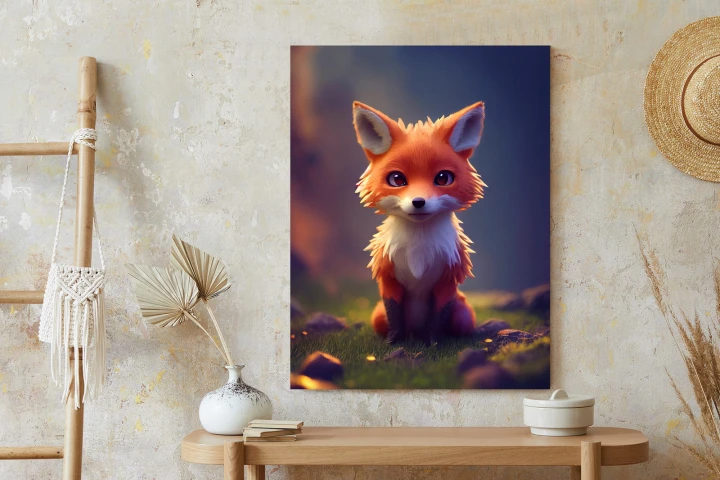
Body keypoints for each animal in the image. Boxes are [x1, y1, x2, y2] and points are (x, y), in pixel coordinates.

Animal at [352, 100, 487, 346]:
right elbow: (394, 316)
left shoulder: (447, 281)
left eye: (443, 178)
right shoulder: (389, 279)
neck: (418, 248)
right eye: (397, 179)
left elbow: (436, 319)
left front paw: (433, 344)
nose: (418, 202)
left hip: (463, 316)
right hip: (377, 317)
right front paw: (393, 343)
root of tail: (414, 331)